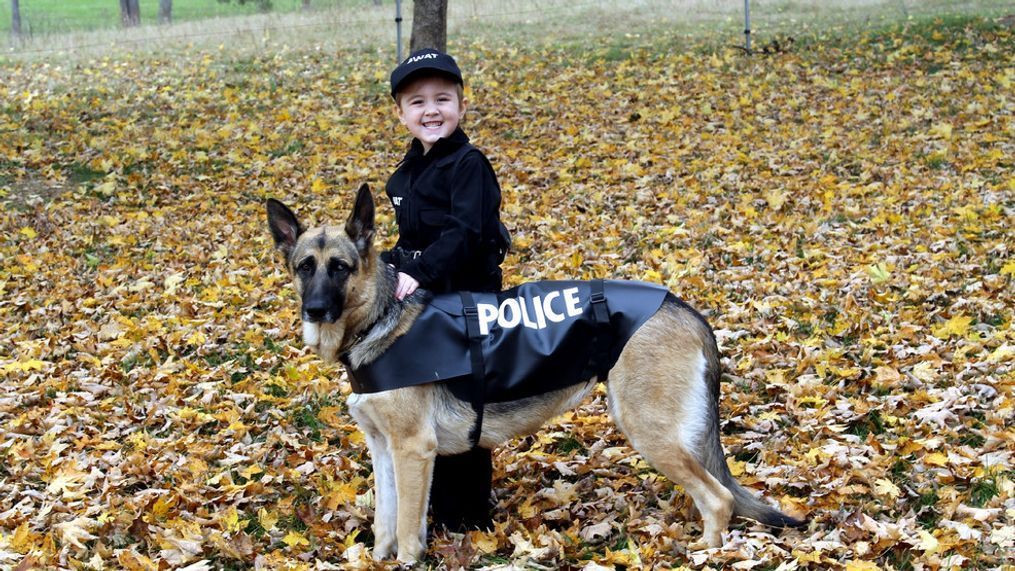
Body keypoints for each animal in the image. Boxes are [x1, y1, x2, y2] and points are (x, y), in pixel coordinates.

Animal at [265, 184, 803, 563]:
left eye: (339, 267)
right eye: (304, 267)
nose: (315, 311)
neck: (377, 318)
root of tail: (681, 304)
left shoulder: (413, 451)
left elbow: (408, 533)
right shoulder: (383, 450)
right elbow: (385, 524)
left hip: (649, 431)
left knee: (718, 499)